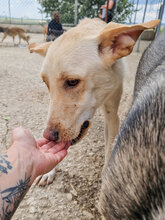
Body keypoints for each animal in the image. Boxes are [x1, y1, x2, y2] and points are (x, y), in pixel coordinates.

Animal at [28, 18, 160, 186]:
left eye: (72, 81)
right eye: (46, 83)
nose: (48, 136)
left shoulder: (112, 115)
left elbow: (109, 147)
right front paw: (50, 170)